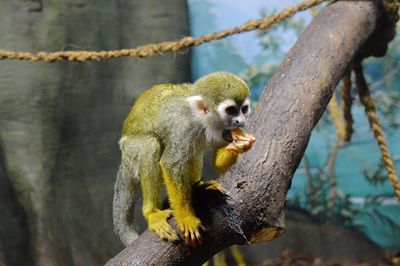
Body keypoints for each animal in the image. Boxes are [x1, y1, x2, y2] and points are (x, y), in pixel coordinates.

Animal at [112, 71, 256, 246]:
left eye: (244, 109)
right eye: (231, 110)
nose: (240, 121)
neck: (202, 121)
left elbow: (217, 165)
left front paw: (240, 145)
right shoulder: (184, 128)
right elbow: (170, 164)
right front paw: (186, 218)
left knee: (193, 151)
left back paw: (196, 186)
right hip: (131, 149)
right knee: (150, 145)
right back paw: (152, 213)